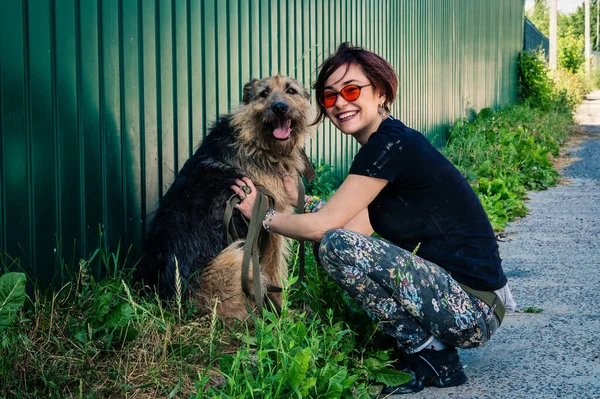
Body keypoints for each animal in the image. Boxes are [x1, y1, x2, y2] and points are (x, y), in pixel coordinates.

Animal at [137, 74, 314, 318]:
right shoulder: (270, 223)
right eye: (264, 93)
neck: (255, 143)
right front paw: (283, 314)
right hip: (235, 258)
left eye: (291, 91)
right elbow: (274, 271)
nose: (280, 107)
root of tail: (169, 301)